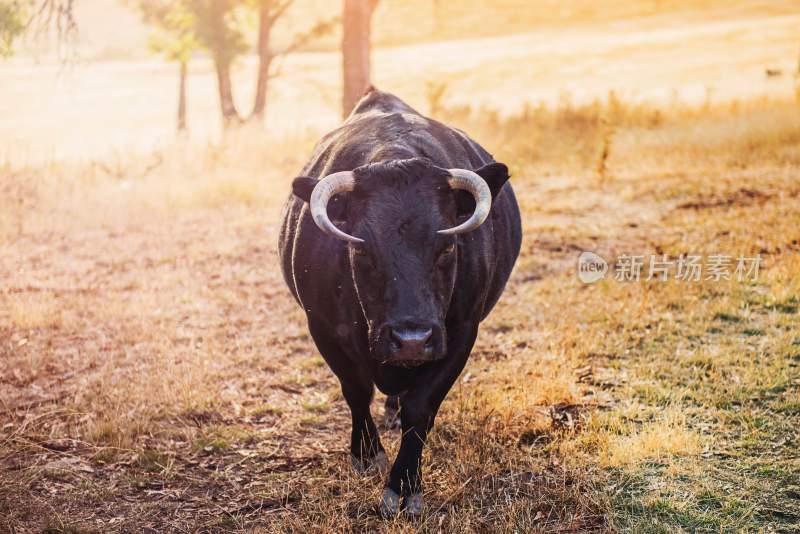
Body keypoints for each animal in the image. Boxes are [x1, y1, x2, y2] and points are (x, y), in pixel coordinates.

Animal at [278, 90, 520, 516]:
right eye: (361, 251)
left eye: (447, 246)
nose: (411, 339)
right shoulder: (322, 327)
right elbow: (356, 389)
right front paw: (367, 455)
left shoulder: (460, 333)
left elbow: (420, 407)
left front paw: (404, 485)